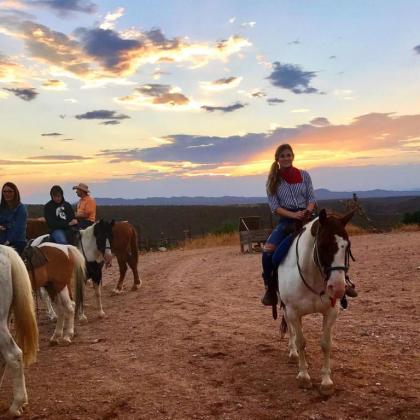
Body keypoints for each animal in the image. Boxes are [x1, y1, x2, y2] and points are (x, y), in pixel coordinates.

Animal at [278, 210, 354, 398]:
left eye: (347, 246)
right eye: (323, 245)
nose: (338, 288)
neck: (312, 275)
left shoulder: (331, 311)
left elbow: (326, 344)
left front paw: (326, 382)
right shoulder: (293, 311)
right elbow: (301, 342)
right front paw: (304, 376)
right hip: (285, 307)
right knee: (290, 327)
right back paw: (292, 353)